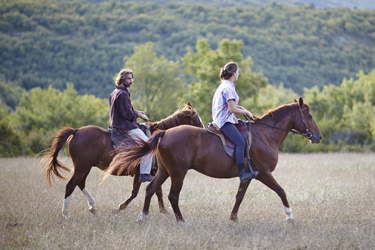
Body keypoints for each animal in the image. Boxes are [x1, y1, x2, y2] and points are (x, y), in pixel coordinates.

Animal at [40, 101, 204, 219]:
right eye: (196, 120)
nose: (204, 129)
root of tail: (77, 131)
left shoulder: (150, 172)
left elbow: (150, 191)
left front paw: (162, 211)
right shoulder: (148, 172)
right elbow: (143, 192)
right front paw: (120, 208)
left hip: (84, 168)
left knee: (80, 184)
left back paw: (92, 206)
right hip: (82, 168)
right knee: (70, 186)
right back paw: (66, 213)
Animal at [106, 97, 324, 223]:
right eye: (310, 116)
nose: (318, 137)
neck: (266, 134)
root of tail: (165, 133)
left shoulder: (249, 175)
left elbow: (239, 196)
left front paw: (233, 219)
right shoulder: (263, 173)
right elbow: (281, 191)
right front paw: (290, 216)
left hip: (164, 171)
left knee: (151, 189)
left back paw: (143, 217)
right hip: (178, 173)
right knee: (172, 196)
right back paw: (181, 221)